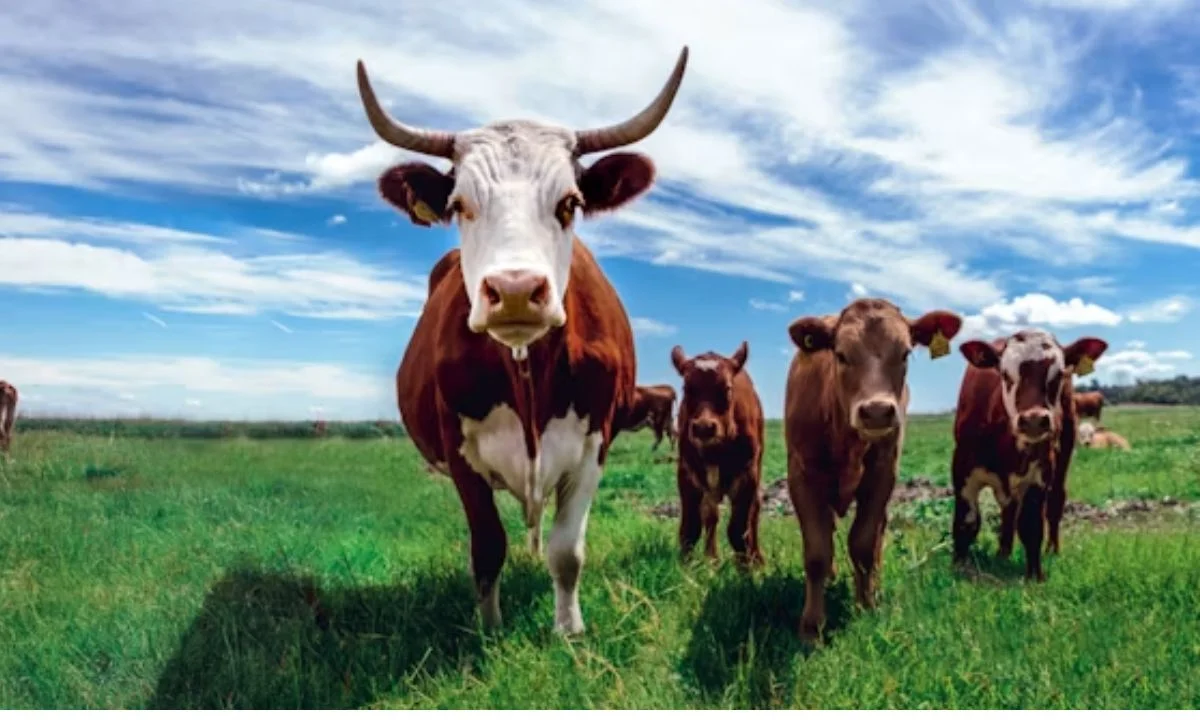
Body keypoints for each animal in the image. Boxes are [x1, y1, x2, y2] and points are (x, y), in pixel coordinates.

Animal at [358, 47, 690, 635]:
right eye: (460, 205)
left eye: (570, 203)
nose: (514, 290)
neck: (528, 371)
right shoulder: (459, 451)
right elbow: (488, 547)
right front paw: (489, 628)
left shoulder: (595, 443)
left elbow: (567, 550)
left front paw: (569, 629)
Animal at [671, 342, 765, 566]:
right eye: (687, 388)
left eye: (727, 388)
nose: (704, 427)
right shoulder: (686, 472)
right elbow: (690, 528)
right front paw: (686, 567)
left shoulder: (748, 475)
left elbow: (739, 530)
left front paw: (746, 568)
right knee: (710, 514)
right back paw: (711, 558)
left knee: (754, 512)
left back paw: (756, 557)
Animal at [785, 298, 962, 640]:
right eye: (840, 354)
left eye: (905, 353)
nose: (877, 411)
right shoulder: (802, 476)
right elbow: (816, 552)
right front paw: (812, 626)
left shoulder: (883, 474)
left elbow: (864, 545)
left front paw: (865, 607)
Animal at [952, 330, 1108, 581]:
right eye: (1005, 374)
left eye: (1058, 375)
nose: (1034, 419)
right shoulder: (962, 469)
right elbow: (966, 523)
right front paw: (958, 567)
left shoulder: (1040, 473)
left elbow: (1031, 525)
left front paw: (1035, 575)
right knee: (1008, 512)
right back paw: (1003, 553)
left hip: (1065, 449)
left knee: (1054, 502)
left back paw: (1051, 550)